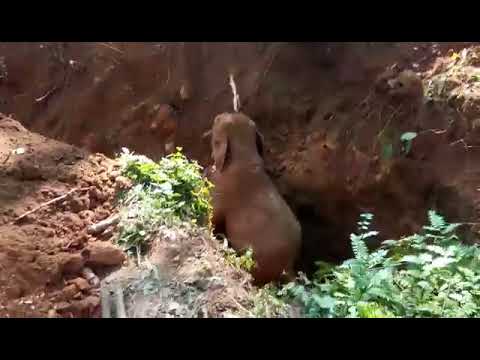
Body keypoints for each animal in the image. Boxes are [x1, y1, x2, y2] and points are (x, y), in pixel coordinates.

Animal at [209, 111, 300, 286]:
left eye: (218, 121)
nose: (217, 115)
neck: (244, 154)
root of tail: (289, 268)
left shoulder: (221, 192)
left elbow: (212, 215)